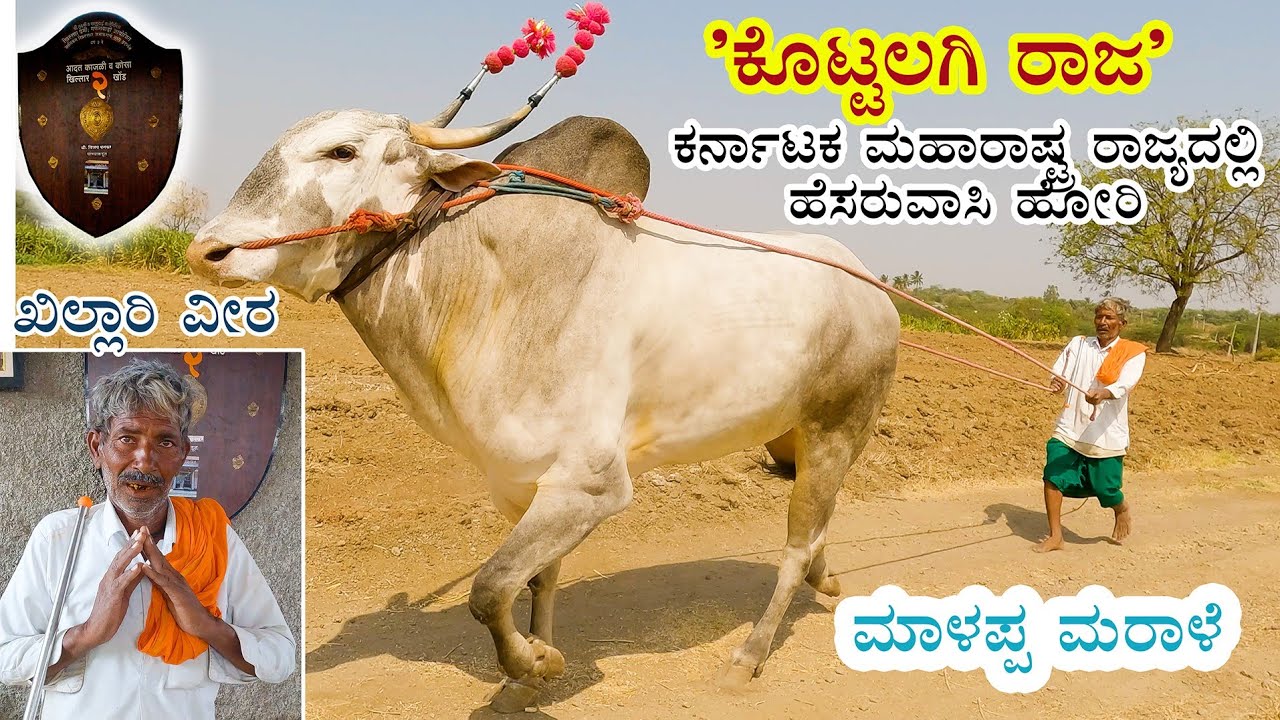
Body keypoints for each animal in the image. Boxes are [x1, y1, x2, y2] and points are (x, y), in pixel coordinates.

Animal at [187, 102, 899, 712]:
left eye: (342, 150)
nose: (207, 249)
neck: (483, 281)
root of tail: (873, 288)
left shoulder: (591, 484)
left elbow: (488, 587)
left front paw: (535, 664)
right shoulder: (521, 484)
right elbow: (535, 580)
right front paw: (529, 670)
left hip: (838, 426)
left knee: (797, 543)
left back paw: (749, 655)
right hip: (799, 435)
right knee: (815, 530)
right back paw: (825, 582)